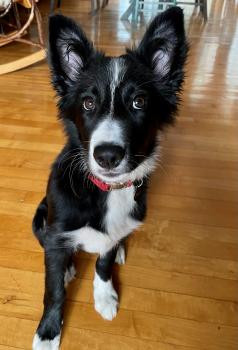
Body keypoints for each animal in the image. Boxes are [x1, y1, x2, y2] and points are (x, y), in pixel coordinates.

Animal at [32, 6, 188, 348]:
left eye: (139, 102)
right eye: (88, 103)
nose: (107, 155)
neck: (108, 190)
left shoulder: (115, 230)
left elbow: (102, 262)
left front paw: (105, 297)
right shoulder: (56, 232)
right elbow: (53, 290)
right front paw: (48, 332)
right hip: (40, 218)